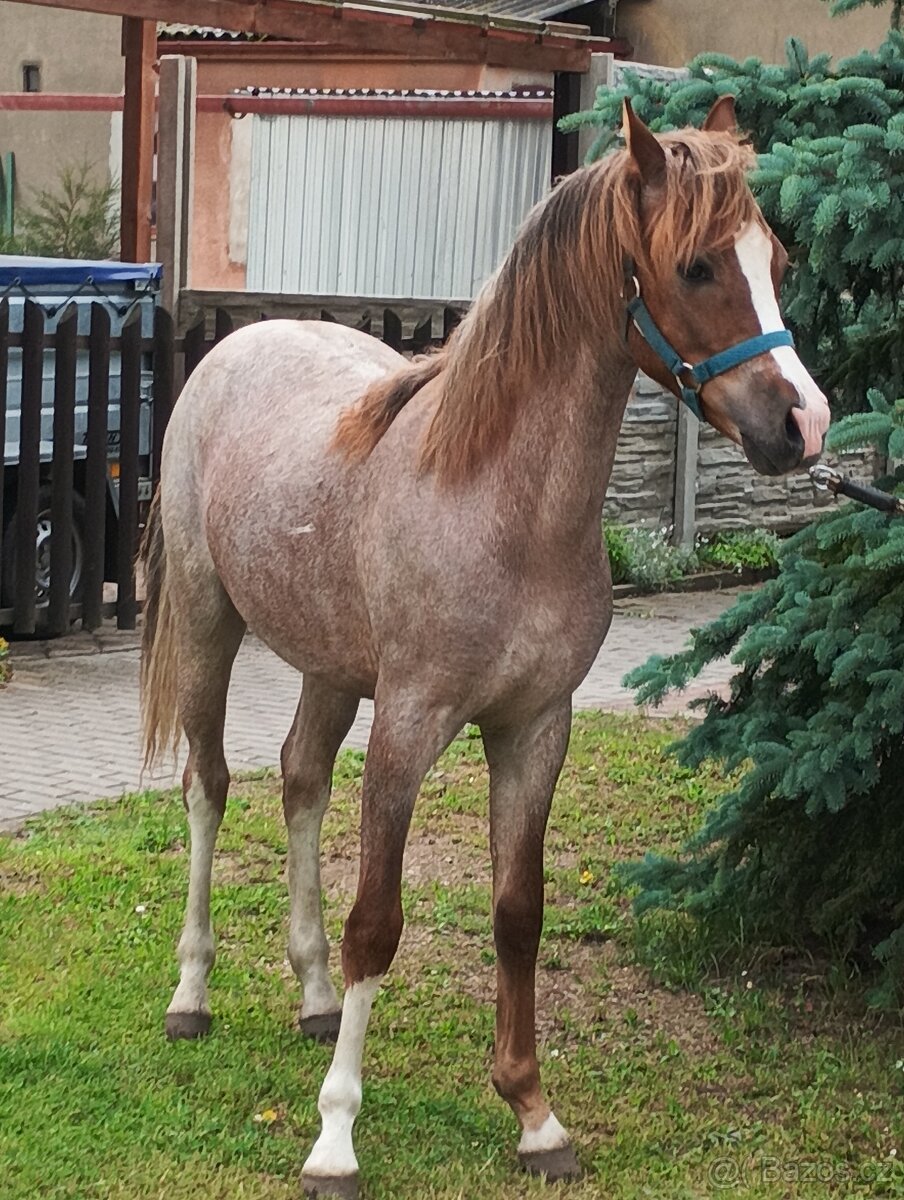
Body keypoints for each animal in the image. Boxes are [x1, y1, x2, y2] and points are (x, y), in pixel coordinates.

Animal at [140, 97, 829, 1199]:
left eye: (779, 257)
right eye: (696, 268)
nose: (804, 425)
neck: (500, 504)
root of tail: (240, 344)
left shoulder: (534, 729)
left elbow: (517, 912)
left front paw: (534, 1115)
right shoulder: (411, 726)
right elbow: (378, 921)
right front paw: (335, 1137)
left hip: (330, 668)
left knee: (299, 781)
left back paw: (313, 996)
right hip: (210, 626)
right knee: (208, 789)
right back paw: (192, 994)